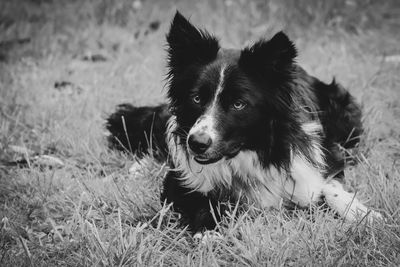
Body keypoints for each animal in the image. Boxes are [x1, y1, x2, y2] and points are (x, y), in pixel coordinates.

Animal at [105, 11, 382, 236]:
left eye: (239, 104)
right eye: (196, 98)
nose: (197, 144)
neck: (250, 152)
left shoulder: (319, 159)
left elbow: (329, 185)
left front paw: (360, 213)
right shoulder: (180, 182)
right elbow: (200, 198)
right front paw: (208, 233)